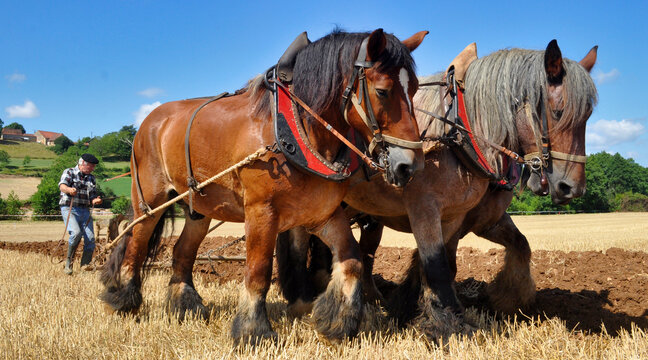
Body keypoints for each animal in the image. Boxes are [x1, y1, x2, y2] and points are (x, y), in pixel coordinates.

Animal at [98, 28, 428, 344]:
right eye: (383, 91)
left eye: (413, 89)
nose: (409, 166)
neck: (297, 129)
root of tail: (149, 121)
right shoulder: (261, 212)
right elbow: (258, 271)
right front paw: (253, 332)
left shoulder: (323, 214)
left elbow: (353, 261)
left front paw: (335, 324)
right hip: (150, 200)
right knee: (136, 244)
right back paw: (122, 300)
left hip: (199, 209)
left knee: (182, 251)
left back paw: (185, 306)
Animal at [274, 38, 596, 334]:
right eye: (558, 111)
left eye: (587, 117)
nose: (572, 187)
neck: (459, 134)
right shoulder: (425, 209)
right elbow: (437, 264)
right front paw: (443, 322)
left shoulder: (472, 219)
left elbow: (511, 247)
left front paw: (506, 300)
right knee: (300, 245)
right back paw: (301, 296)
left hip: (367, 218)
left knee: (360, 252)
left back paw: (368, 297)